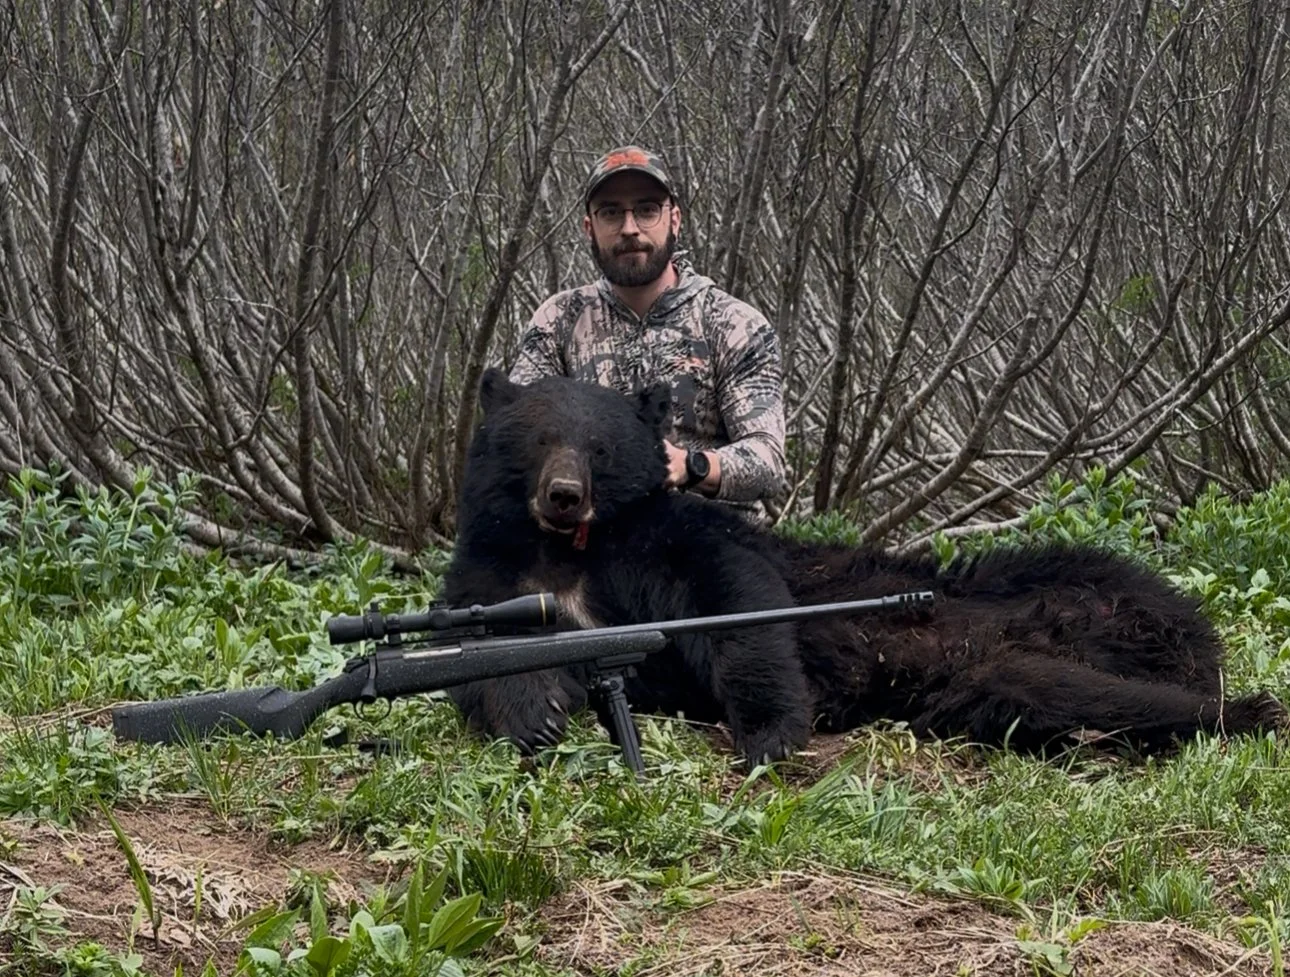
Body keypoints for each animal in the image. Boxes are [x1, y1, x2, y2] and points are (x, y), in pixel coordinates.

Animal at [440, 368, 1288, 765]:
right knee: (1064, 695)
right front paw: (538, 711)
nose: (563, 495)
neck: (569, 551)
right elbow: (477, 653)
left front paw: (771, 730)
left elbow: (736, 596)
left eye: (597, 446)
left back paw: (1249, 707)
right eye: (538, 438)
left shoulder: (671, 538)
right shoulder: (492, 572)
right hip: (998, 675)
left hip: (1070, 588)